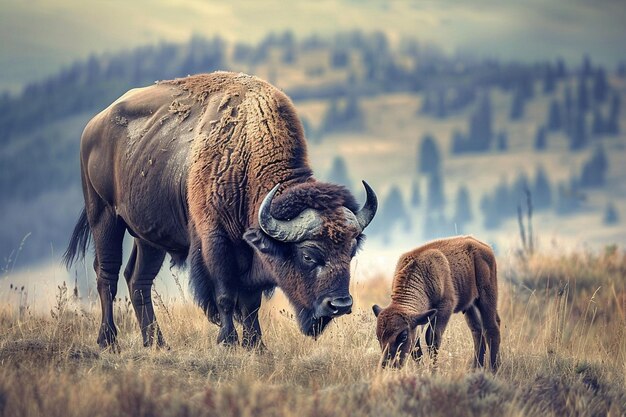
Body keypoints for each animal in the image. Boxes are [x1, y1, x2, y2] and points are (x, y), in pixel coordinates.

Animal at [63, 70, 376, 348]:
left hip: (148, 236)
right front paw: (228, 341)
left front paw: (256, 345)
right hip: (104, 216)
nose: (340, 304)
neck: (246, 151)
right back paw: (108, 341)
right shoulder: (216, 242)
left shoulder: (251, 256)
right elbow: (225, 296)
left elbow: (250, 303)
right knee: (107, 275)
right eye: (308, 256)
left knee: (138, 279)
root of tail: (94, 125)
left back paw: (157, 343)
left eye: (350, 251)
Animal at [372, 236, 500, 368]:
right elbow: (416, 345)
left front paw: (433, 369)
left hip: (486, 298)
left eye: (403, 336)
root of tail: (485, 246)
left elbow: (432, 338)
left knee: (491, 328)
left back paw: (494, 368)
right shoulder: (422, 316)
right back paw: (476, 368)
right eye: (378, 336)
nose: (388, 364)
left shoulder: (445, 307)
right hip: (470, 306)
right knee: (477, 330)